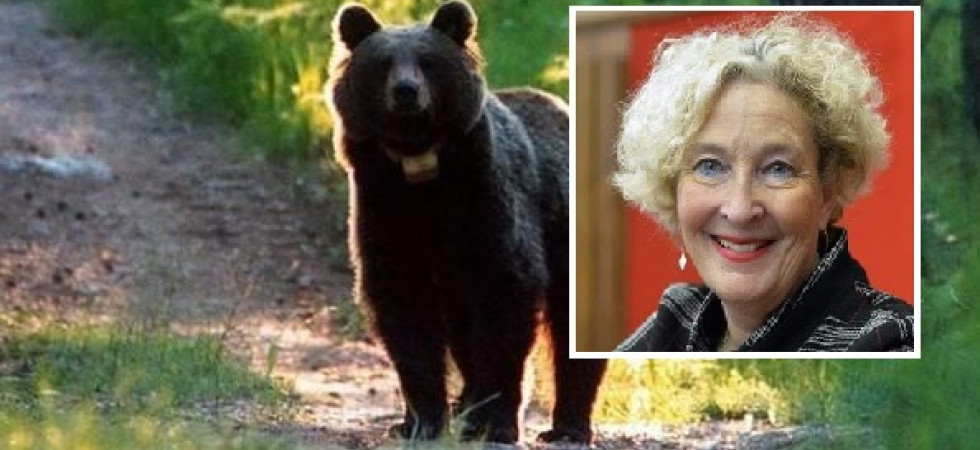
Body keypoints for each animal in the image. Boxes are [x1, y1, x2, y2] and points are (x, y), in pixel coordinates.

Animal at [325, 1, 606, 444]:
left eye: (427, 61)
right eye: (384, 63)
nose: (406, 91)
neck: (421, 169)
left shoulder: (484, 203)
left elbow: (505, 299)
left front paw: (496, 423)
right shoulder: (385, 207)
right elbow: (405, 313)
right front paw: (419, 421)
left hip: (564, 230)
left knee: (569, 329)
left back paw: (568, 426)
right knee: (460, 330)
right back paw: (464, 405)